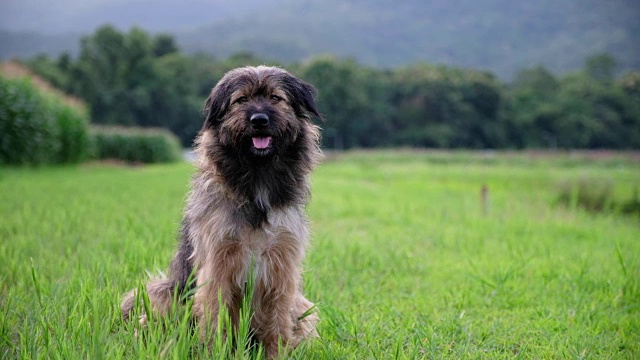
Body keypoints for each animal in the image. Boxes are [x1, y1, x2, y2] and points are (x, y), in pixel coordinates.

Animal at [120, 65, 322, 358]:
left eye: (276, 98)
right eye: (241, 100)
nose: (259, 120)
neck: (257, 183)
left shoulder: (282, 264)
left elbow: (277, 320)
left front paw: (276, 353)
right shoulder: (218, 261)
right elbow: (217, 316)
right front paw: (216, 350)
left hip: (304, 306)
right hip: (166, 293)